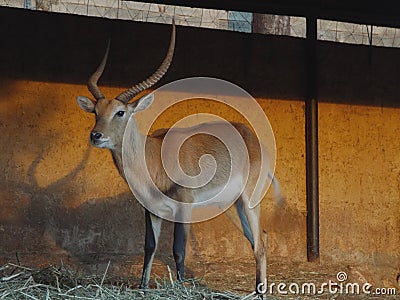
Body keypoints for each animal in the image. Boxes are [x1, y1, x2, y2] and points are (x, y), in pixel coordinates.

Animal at [75, 21, 282, 296]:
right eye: (95, 112)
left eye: (120, 112)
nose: (96, 135)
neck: (152, 158)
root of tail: (252, 137)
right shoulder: (151, 210)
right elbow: (149, 247)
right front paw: (143, 287)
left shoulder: (184, 205)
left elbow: (179, 250)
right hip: (232, 207)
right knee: (262, 237)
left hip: (249, 200)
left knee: (259, 243)